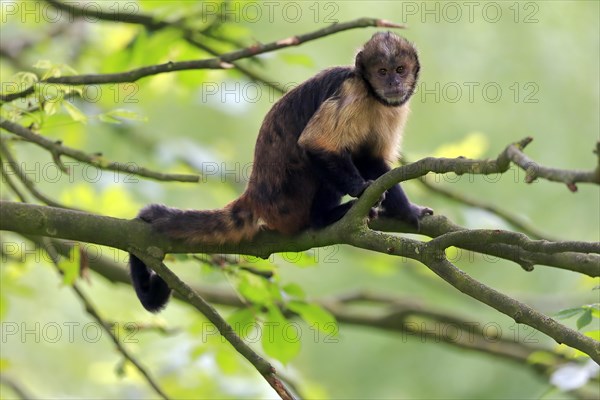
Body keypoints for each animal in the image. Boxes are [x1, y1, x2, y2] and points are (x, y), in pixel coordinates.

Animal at [130, 32, 432, 312]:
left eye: (399, 69)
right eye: (382, 71)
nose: (393, 83)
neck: (372, 95)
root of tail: (255, 194)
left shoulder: (393, 109)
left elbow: (373, 161)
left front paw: (407, 212)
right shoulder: (352, 90)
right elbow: (315, 144)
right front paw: (361, 190)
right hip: (288, 200)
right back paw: (324, 218)